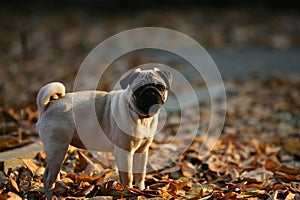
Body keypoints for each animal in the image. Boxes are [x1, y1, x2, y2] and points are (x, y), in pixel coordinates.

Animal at [35, 68, 171, 199]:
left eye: (161, 87)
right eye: (138, 89)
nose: (151, 92)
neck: (141, 118)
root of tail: (48, 105)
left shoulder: (142, 151)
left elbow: (140, 173)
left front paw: (141, 189)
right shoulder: (124, 152)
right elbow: (127, 175)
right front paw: (128, 191)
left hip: (61, 149)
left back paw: (59, 187)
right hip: (57, 148)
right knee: (48, 177)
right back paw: (51, 195)